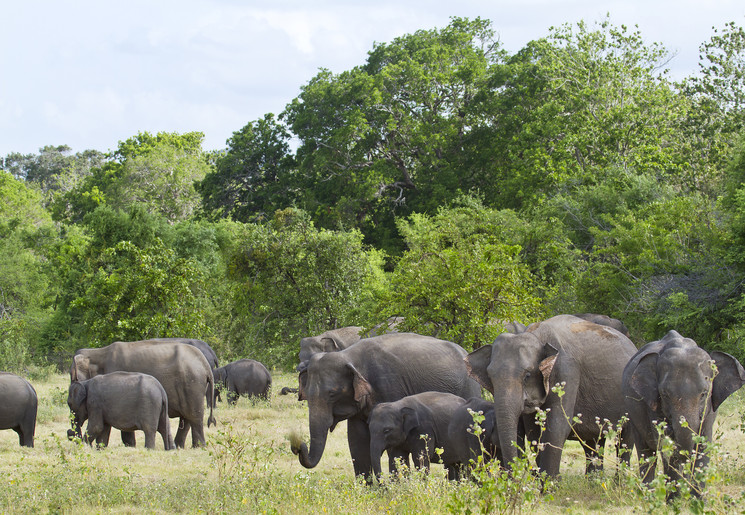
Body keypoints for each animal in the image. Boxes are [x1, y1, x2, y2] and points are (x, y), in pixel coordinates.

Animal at [70, 338, 215, 448]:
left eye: (73, 378)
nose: (70, 434)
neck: (96, 352)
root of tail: (206, 365)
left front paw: (130, 446)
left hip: (192, 384)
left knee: (194, 416)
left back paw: (198, 447)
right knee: (187, 417)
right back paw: (180, 446)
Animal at [288, 332, 480, 482]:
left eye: (332, 394)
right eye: (306, 396)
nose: (298, 445)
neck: (349, 356)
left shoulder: (391, 386)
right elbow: (356, 440)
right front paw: (367, 489)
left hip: (470, 387)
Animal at [464, 314, 632, 480]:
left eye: (527, 376)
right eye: (490, 378)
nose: (526, 473)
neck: (537, 335)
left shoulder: (566, 371)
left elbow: (557, 426)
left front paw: (550, 483)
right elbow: (534, 430)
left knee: (625, 439)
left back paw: (619, 481)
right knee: (593, 439)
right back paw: (594, 480)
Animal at [620, 330, 744, 496]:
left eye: (704, 394)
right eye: (665, 394)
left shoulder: (710, 410)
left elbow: (703, 445)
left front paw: (697, 499)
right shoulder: (653, 405)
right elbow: (666, 445)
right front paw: (674, 499)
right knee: (646, 451)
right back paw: (648, 495)